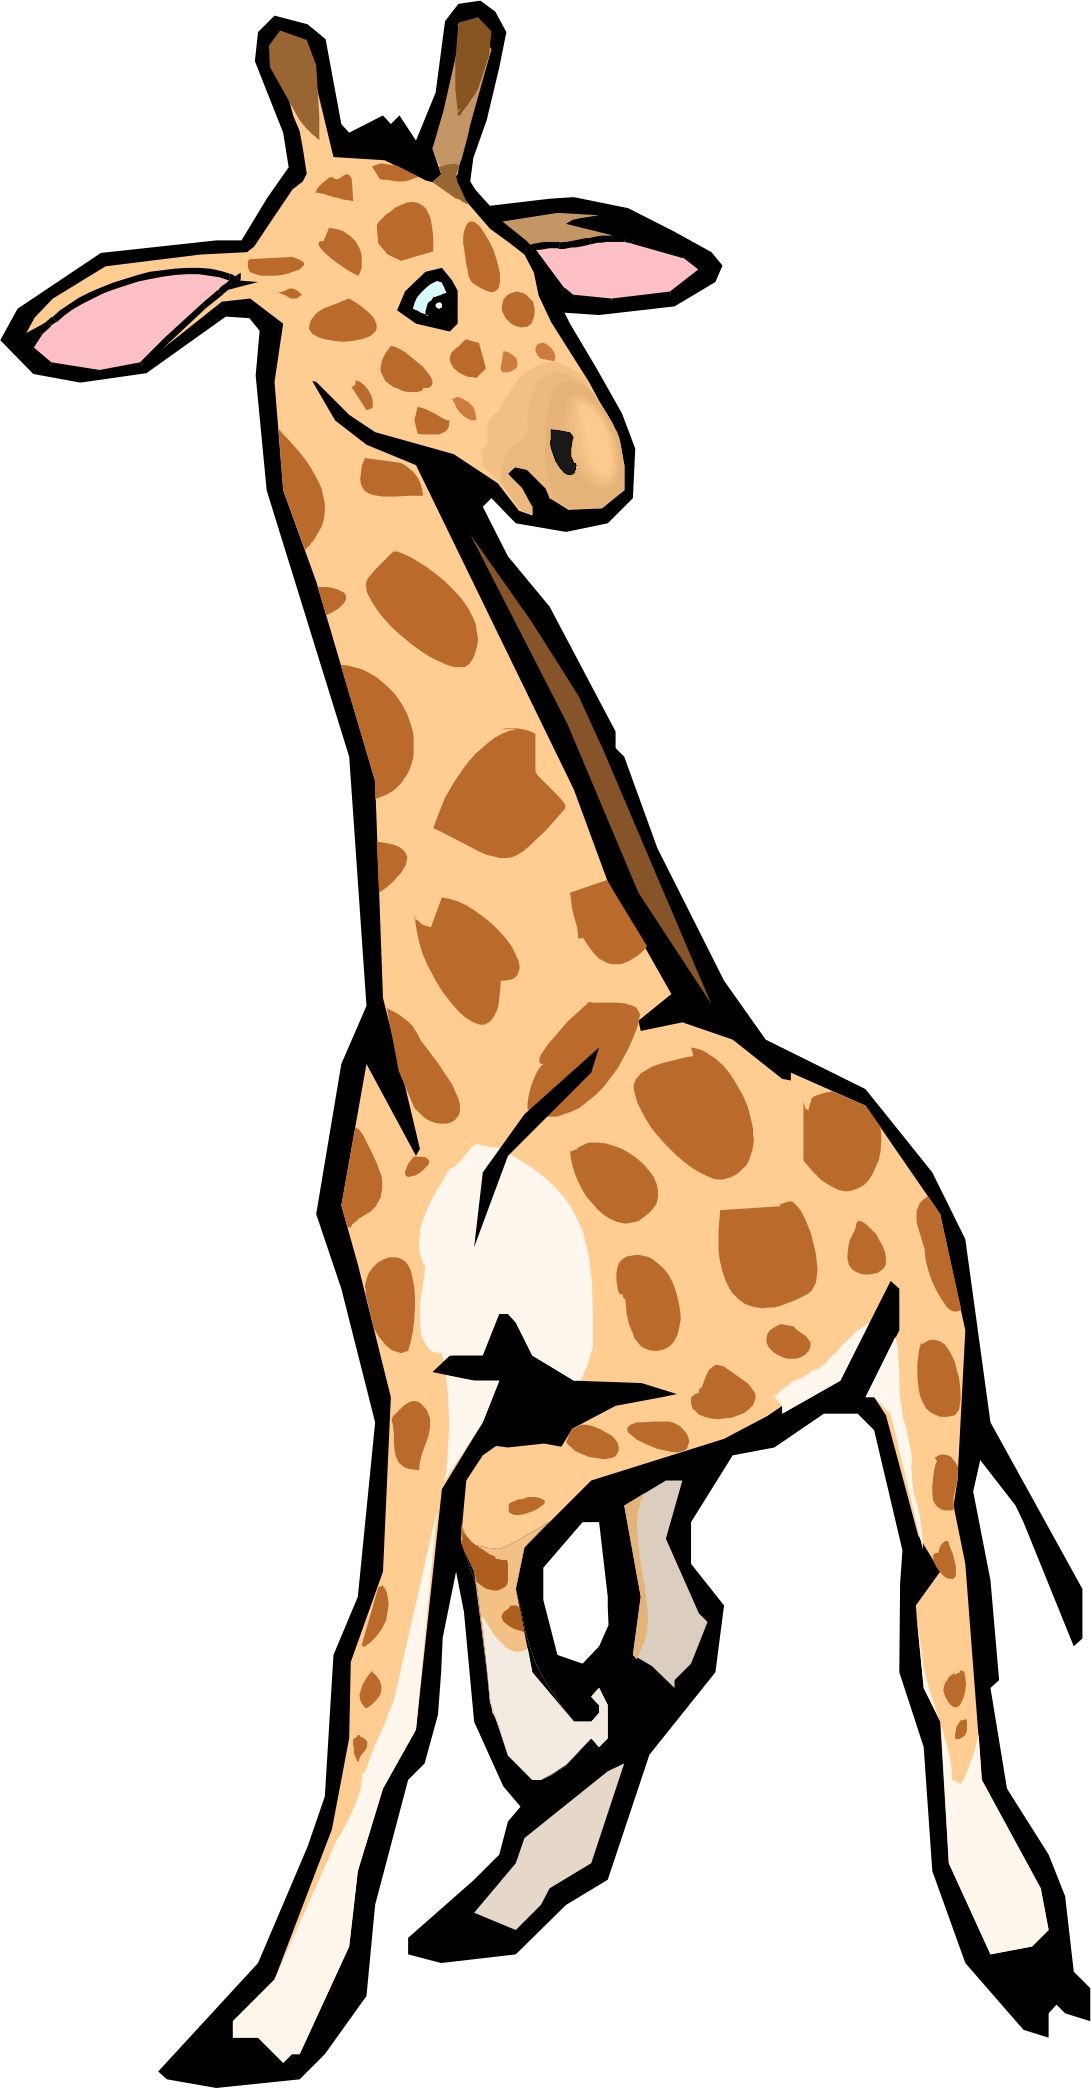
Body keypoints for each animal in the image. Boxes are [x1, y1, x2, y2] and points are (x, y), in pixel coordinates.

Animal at [4, 8, 1087, 2081]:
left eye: (536, 263)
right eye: (425, 288)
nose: (589, 464)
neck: (488, 1042)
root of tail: (906, 1159)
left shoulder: (691, 1374)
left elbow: (516, 1576)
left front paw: (540, 1730)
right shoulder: (420, 1364)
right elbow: (377, 1657)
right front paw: (271, 2004)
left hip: (899, 1368)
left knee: (932, 1612)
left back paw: (1012, 1940)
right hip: (660, 1431)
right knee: (686, 1612)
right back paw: (516, 1877)